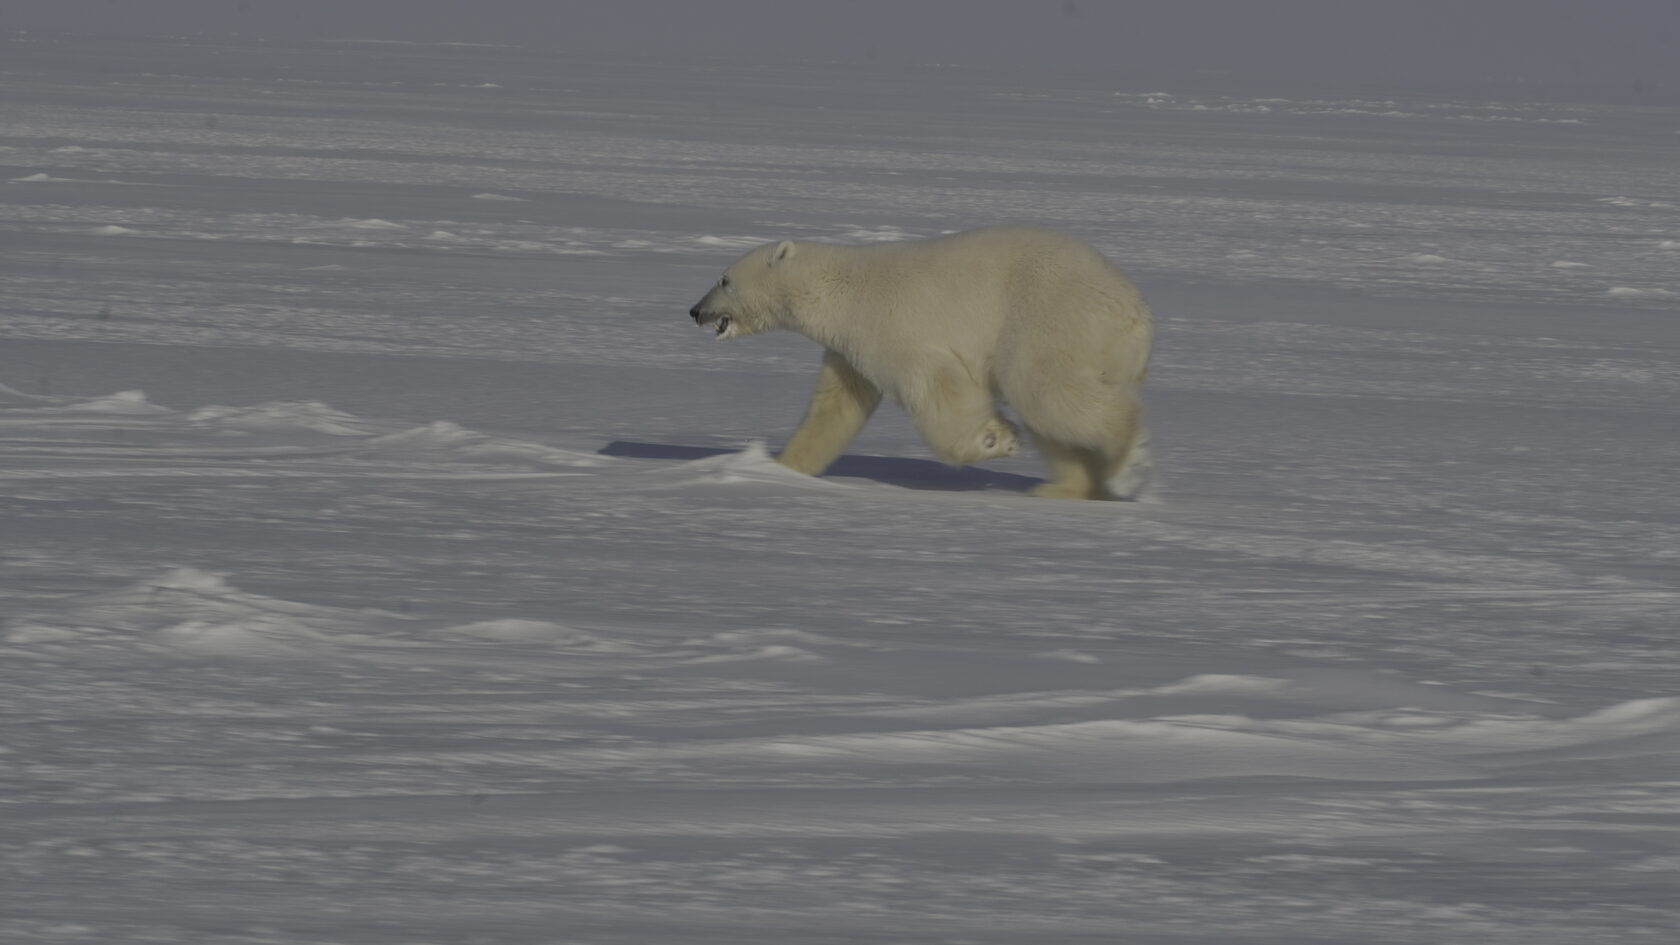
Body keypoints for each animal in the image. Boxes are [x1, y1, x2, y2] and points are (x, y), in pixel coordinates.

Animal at [685, 223, 1155, 497]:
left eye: (724, 279)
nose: (695, 310)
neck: (841, 291)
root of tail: (1135, 312)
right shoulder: (848, 350)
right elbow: (835, 409)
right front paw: (780, 469)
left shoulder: (890, 328)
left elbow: (938, 387)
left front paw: (993, 439)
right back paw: (1067, 487)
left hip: (1050, 315)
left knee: (1042, 386)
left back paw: (1126, 459)